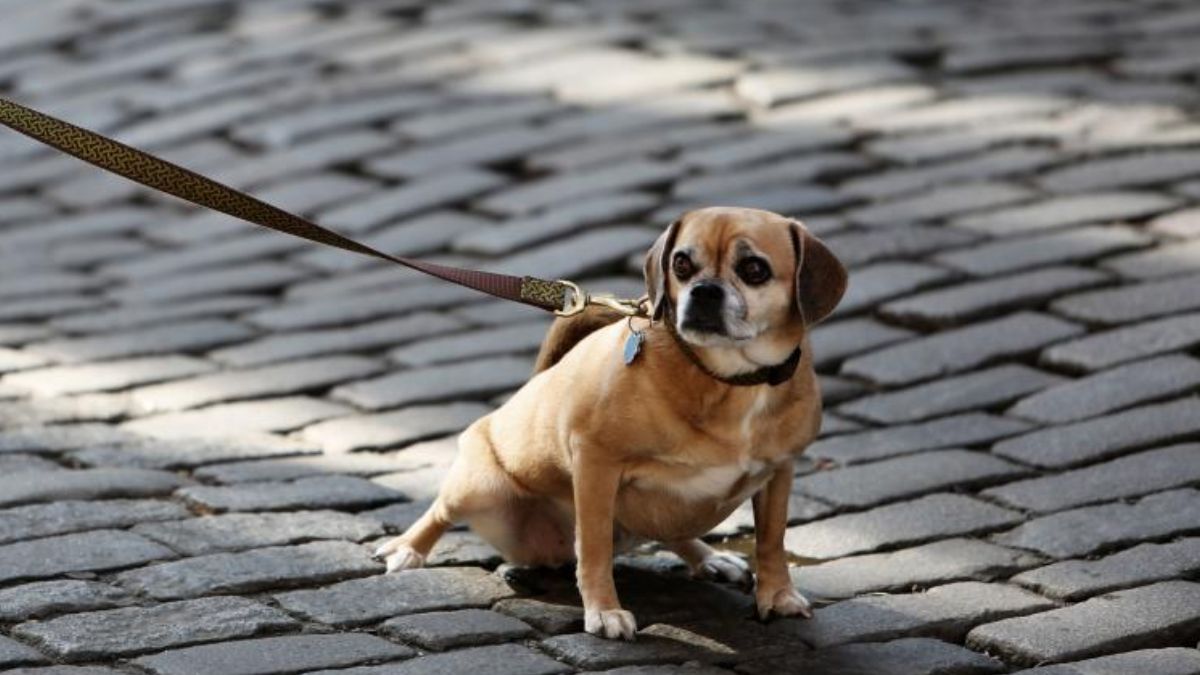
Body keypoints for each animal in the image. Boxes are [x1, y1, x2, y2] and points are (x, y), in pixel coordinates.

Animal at [369, 205, 849, 634]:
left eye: (754, 269)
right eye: (681, 264)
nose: (704, 291)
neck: (729, 380)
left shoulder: (779, 472)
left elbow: (772, 540)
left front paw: (778, 595)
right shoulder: (596, 462)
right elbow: (594, 546)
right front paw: (603, 611)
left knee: (673, 530)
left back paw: (710, 558)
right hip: (478, 487)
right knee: (440, 511)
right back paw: (407, 549)